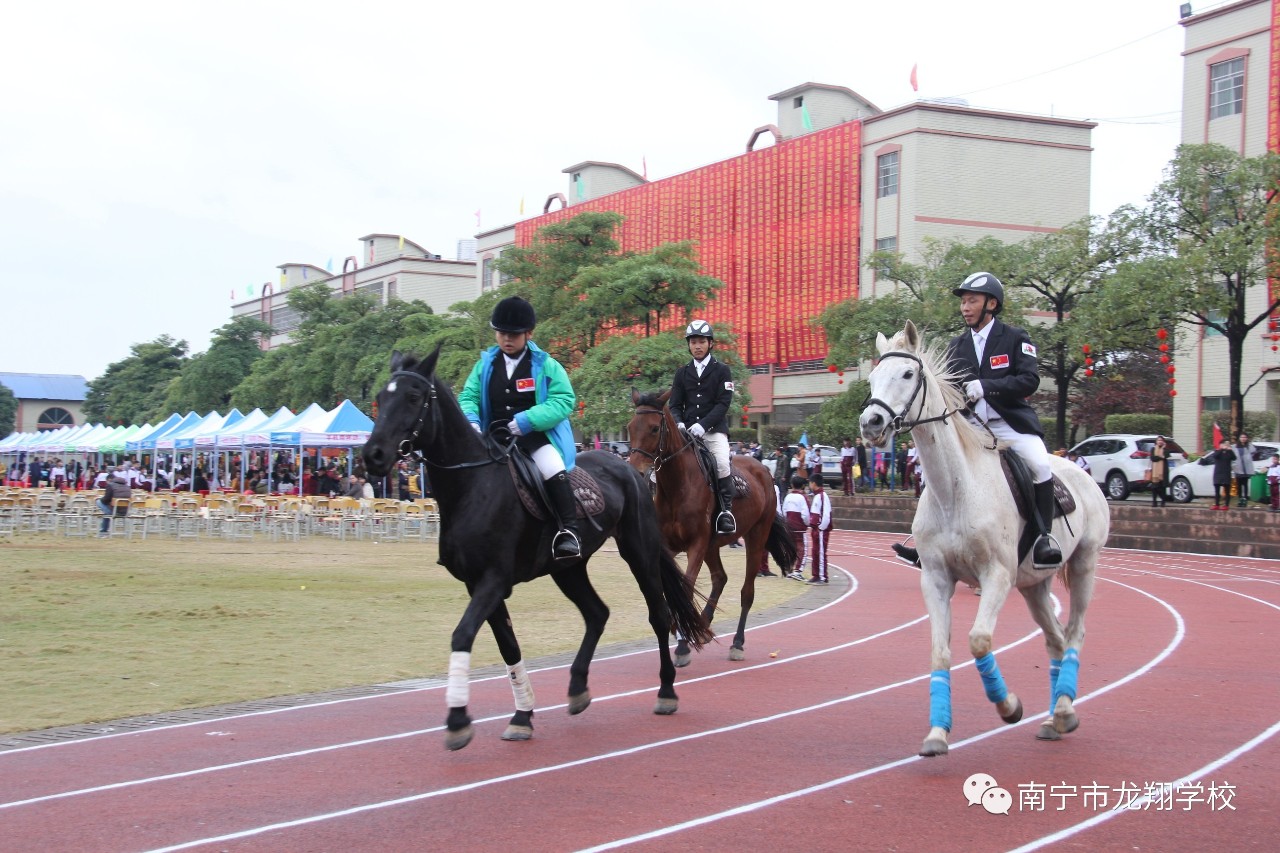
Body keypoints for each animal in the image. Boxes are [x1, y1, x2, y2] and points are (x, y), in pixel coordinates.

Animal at [366, 345, 716, 742]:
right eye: (381, 399)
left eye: (413, 397)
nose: (373, 455)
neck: (474, 485)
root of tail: (629, 468)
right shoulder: (478, 584)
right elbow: (507, 645)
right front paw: (522, 714)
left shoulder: (493, 580)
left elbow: (462, 635)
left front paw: (457, 718)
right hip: (568, 568)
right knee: (597, 613)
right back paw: (578, 687)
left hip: (639, 554)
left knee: (659, 615)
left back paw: (666, 691)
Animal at [629, 389, 798, 666]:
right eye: (630, 427)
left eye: (654, 428)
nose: (636, 471)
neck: (677, 486)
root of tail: (763, 469)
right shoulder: (669, 547)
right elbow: (670, 588)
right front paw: (679, 628)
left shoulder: (696, 544)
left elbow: (685, 588)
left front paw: (682, 644)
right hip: (712, 545)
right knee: (720, 577)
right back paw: (703, 625)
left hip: (755, 537)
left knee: (747, 592)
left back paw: (736, 643)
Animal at [860, 322, 1111, 753]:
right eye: (873, 378)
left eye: (908, 374)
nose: (871, 423)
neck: (954, 490)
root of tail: (1080, 470)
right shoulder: (936, 579)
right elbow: (940, 652)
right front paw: (937, 733)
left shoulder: (996, 575)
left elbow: (978, 640)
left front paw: (1008, 706)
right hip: (1034, 585)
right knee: (1055, 640)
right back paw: (1054, 718)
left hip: (1083, 565)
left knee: (1074, 633)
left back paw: (1063, 711)